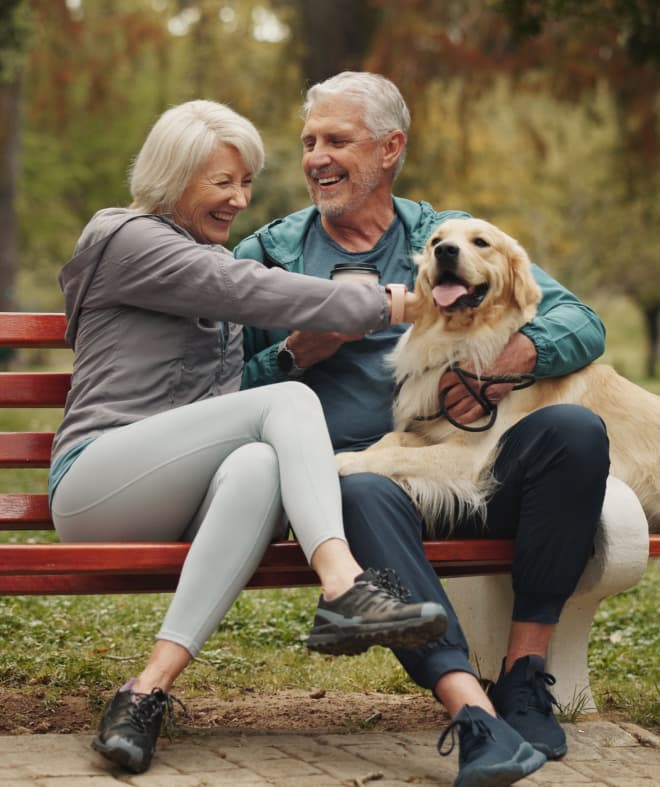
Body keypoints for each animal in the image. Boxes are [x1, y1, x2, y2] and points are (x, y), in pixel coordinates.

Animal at [338, 215, 656, 536]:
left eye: (481, 242)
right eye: (435, 241)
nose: (445, 251)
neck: (459, 339)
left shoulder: (469, 457)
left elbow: (398, 454)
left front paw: (348, 460)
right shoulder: (434, 433)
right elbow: (393, 439)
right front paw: (359, 453)